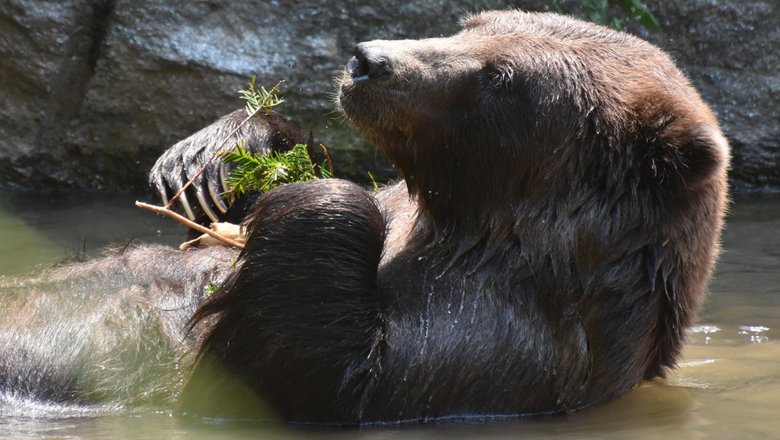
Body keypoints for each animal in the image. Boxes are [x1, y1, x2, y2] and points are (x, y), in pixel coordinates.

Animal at [178, 9, 732, 422]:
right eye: (469, 25)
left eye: (499, 75)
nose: (367, 60)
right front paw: (218, 156)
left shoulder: (483, 348)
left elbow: (313, 375)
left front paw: (325, 195)